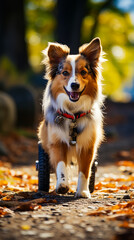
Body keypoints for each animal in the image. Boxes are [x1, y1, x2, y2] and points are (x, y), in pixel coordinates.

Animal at [37, 37, 104, 198]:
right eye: (65, 73)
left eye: (83, 72)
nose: (74, 85)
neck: (73, 113)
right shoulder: (57, 142)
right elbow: (61, 165)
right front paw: (62, 185)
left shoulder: (87, 146)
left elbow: (85, 170)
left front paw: (83, 191)